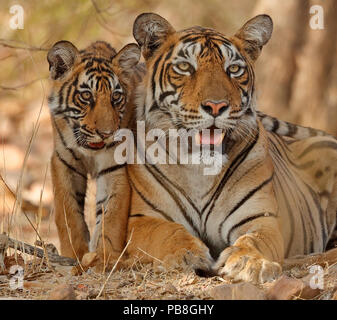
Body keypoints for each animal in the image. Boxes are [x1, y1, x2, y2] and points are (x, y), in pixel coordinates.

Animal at [46, 40, 143, 264]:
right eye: (86, 96)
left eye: (116, 97)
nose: (106, 133)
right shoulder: (64, 162)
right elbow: (68, 212)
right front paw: (75, 253)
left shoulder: (114, 167)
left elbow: (111, 216)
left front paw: (104, 257)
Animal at [102, 11, 336, 284]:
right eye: (185, 67)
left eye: (233, 69)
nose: (216, 106)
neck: (200, 168)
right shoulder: (143, 219)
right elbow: (167, 233)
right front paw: (187, 254)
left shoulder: (259, 218)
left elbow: (254, 240)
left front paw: (247, 262)